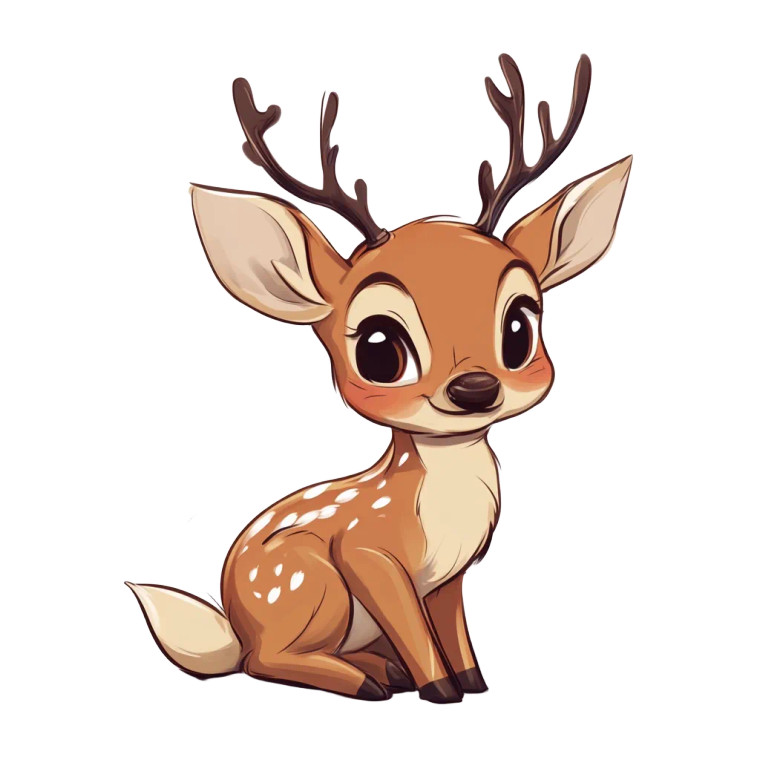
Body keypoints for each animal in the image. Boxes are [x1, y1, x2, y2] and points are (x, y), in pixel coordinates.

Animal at [127, 52, 631, 703]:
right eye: (378, 348)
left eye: (519, 326)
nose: (474, 389)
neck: (442, 504)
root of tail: (232, 626)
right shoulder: (367, 553)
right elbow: (414, 629)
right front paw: (439, 690)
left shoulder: (450, 576)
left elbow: (454, 630)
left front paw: (474, 682)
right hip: (308, 579)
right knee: (264, 659)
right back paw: (368, 679)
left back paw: (380, 667)